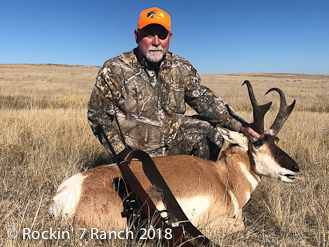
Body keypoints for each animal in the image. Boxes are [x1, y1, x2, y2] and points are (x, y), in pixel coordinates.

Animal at [49, 81, 300, 235]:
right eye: (257, 143)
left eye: (277, 141)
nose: (295, 169)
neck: (225, 177)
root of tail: (69, 194)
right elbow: (240, 225)